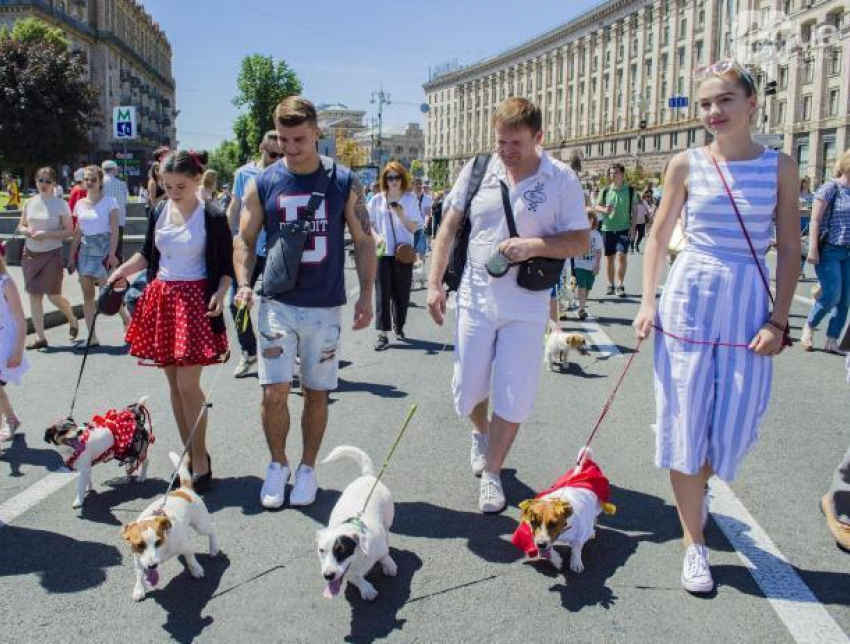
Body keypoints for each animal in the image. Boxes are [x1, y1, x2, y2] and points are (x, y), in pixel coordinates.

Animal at [316, 446, 396, 600]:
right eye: (321, 550)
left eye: (342, 550)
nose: (328, 576)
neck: (358, 557)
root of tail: (367, 476)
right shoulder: (348, 573)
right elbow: (356, 578)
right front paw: (367, 590)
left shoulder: (380, 548)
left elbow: (384, 555)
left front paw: (389, 565)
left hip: (388, 516)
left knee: (387, 531)